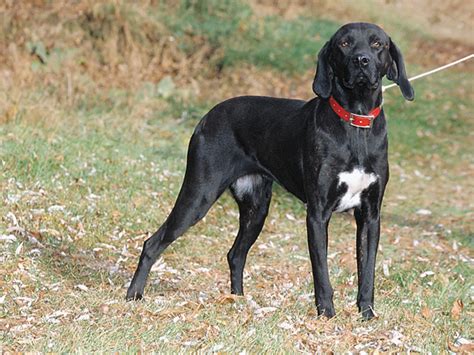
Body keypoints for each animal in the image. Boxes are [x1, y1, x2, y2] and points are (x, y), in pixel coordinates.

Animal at [127, 21, 414, 320]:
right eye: (344, 44)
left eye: (377, 43)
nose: (361, 60)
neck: (355, 123)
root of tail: (207, 116)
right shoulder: (317, 213)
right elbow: (321, 273)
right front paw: (326, 315)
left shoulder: (370, 215)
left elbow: (367, 271)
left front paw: (367, 314)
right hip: (198, 195)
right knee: (152, 243)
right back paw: (134, 295)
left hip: (256, 208)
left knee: (235, 254)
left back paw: (238, 300)